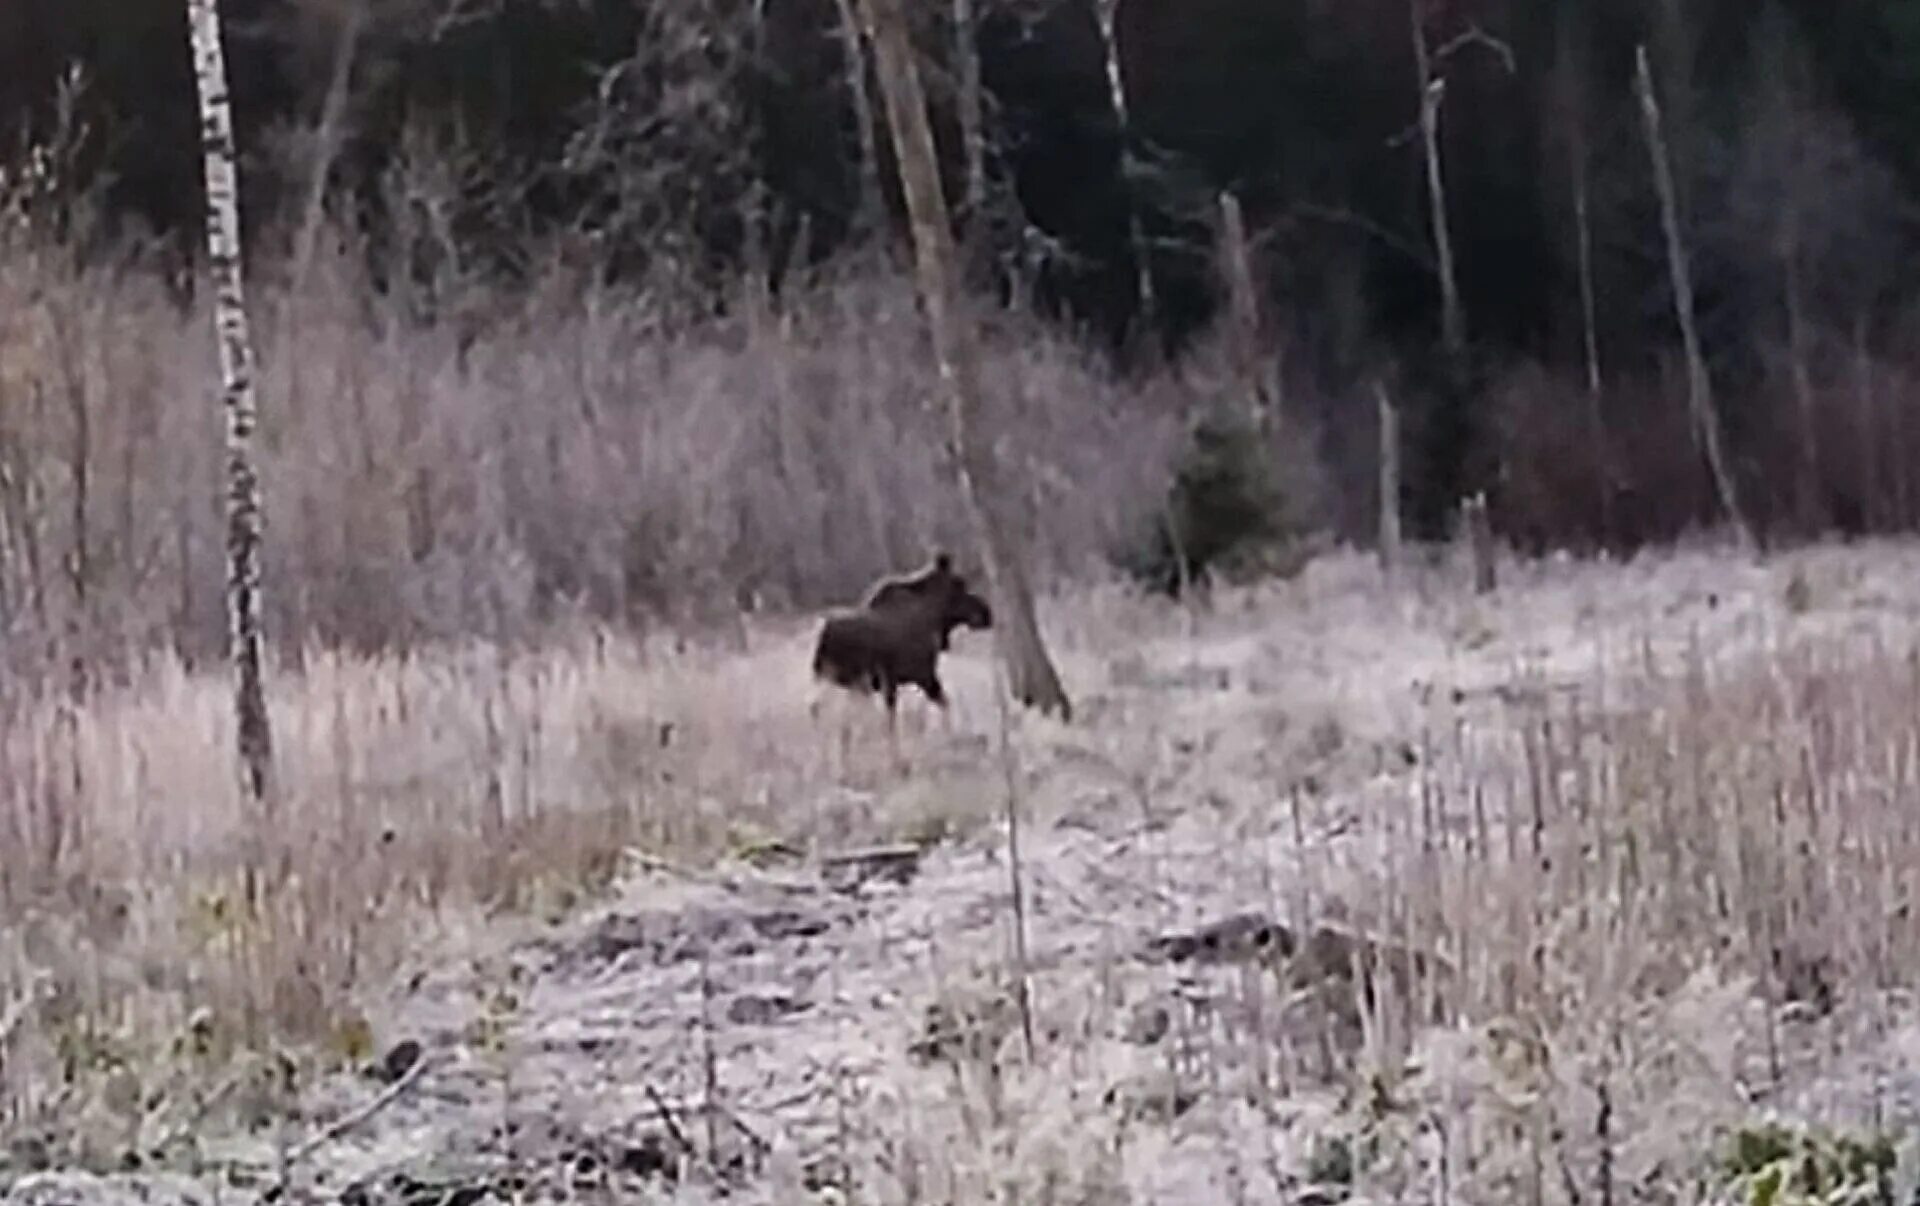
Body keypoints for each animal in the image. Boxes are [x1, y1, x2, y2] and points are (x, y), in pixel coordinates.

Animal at [806, 553, 990, 729]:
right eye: (959, 585)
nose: (986, 613)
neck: (933, 619)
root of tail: (820, 634)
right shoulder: (921, 674)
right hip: (833, 678)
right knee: (821, 711)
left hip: (837, 681)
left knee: (820, 711)